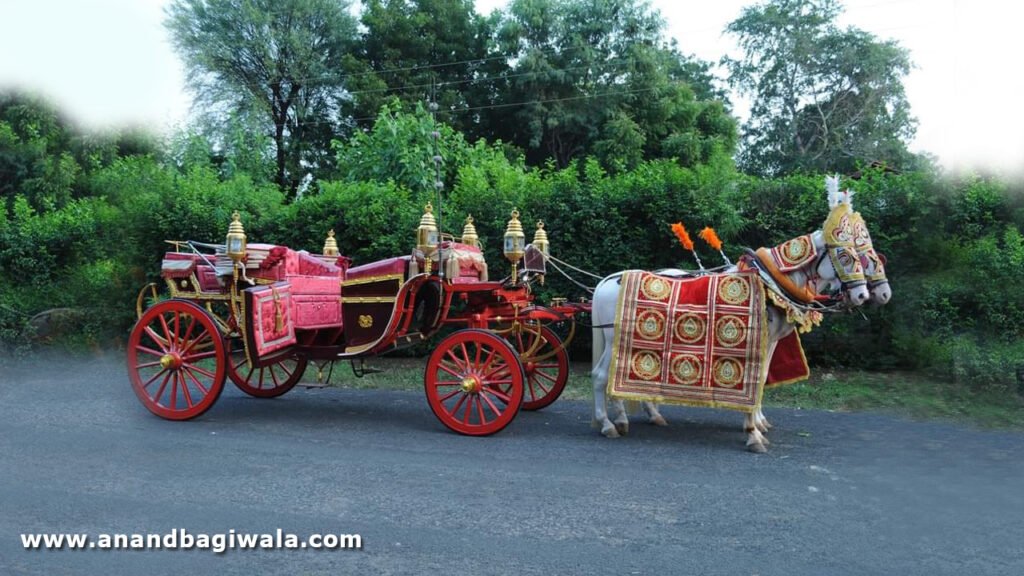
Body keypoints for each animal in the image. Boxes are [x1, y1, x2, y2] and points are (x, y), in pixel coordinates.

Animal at [589, 175, 884, 448]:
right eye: (845, 256)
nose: (864, 295)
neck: (772, 283)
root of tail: (608, 281)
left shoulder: (772, 342)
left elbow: (762, 379)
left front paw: (759, 423)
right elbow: (756, 380)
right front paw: (753, 433)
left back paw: (636, 417)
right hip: (615, 340)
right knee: (601, 376)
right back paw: (608, 424)